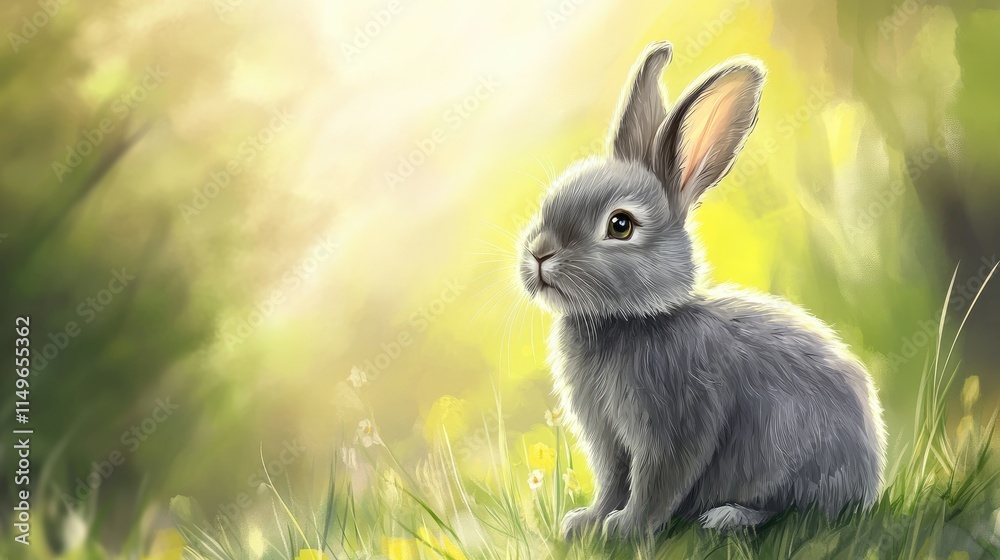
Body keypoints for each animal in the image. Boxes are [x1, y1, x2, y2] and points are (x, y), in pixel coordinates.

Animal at [515, 41, 887, 540]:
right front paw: (587, 523)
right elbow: (613, 481)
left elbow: (656, 482)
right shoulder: (608, 439)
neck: (629, 319)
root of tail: (870, 477)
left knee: (795, 511)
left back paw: (729, 517)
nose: (539, 253)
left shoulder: (676, 422)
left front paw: (626, 529)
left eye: (620, 225)